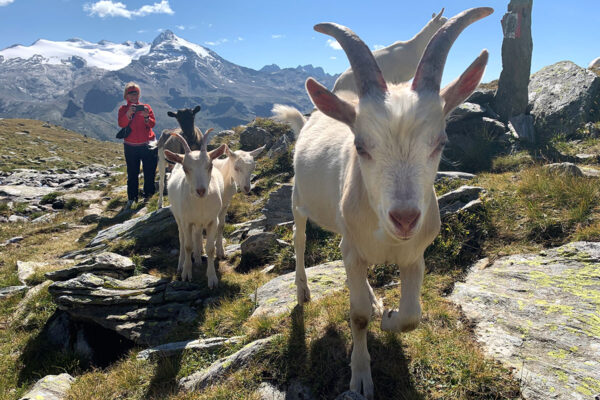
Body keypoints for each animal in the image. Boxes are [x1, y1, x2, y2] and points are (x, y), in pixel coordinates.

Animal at [165, 130, 226, 286]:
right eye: (186, 168)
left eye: (210, 166)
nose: (201, 191)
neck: (200, 204)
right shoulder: (187, 221)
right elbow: (187, 246)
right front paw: (187, 273)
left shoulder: (212, 221)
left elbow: (210, 249)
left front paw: (212, 278)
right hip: (178, 217)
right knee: (182, 239)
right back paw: (181, 264)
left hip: (199, 222)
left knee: (197, 235)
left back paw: (198, 258)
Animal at [272, 7, 492, 398]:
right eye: (360, 146)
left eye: (441, 142)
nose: (404, 218)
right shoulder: (353, 250)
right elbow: (357, 315)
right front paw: (360, 377)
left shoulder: (414, 255)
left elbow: (411, 317)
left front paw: (388, 317)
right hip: (298, 201)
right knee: (299, 240)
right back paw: (303, 291)